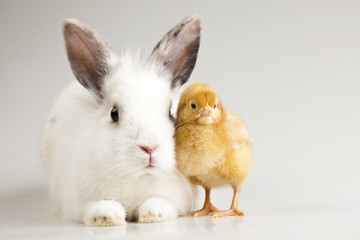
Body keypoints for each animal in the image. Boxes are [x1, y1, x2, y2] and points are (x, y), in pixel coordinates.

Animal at [41, 14, 202, 225]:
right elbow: (99, 206)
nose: (149, 147)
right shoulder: (83, 199)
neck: (136, 176)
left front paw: (153, 215)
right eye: (114, 113)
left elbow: (158, 201)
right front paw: (107, 217)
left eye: (170, 113)